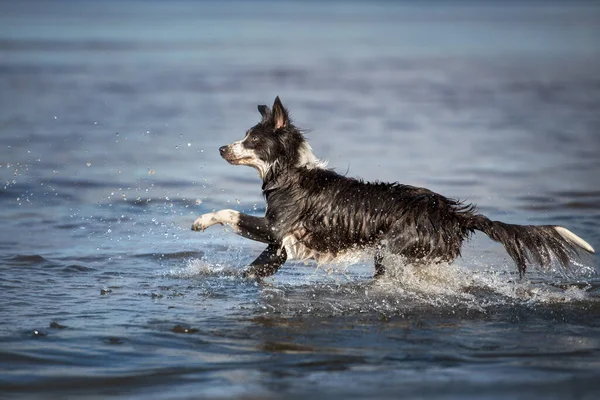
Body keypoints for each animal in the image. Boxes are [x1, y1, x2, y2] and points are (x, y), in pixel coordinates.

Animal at [190, 96, 592, 280]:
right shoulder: (281, 246)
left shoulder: (279, 229)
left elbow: (229, 213)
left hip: (392, 251)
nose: (222, 148)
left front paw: (200, 221)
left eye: (252, 139)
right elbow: (256, 268)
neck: (291, 173)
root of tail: (453, 213)